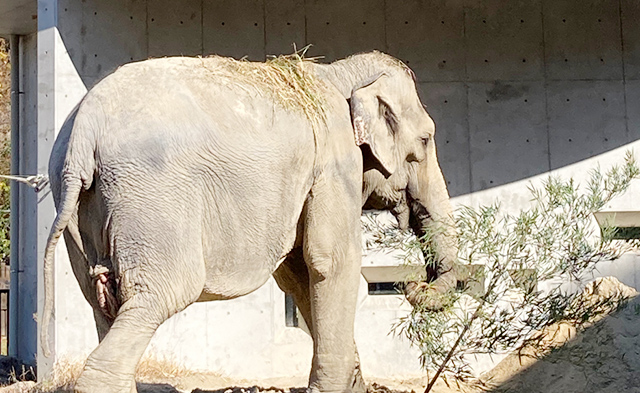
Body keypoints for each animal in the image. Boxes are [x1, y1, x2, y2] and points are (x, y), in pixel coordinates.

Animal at [40, 51, 458, 392]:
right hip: (151, 198)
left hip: (81, 208)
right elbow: (331, 261)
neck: (339, 73)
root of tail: (83, 131)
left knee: (105, 305)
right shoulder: (334, 164)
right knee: (162, 293)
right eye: (425, 141)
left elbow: (298, 273)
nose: (413, 284)